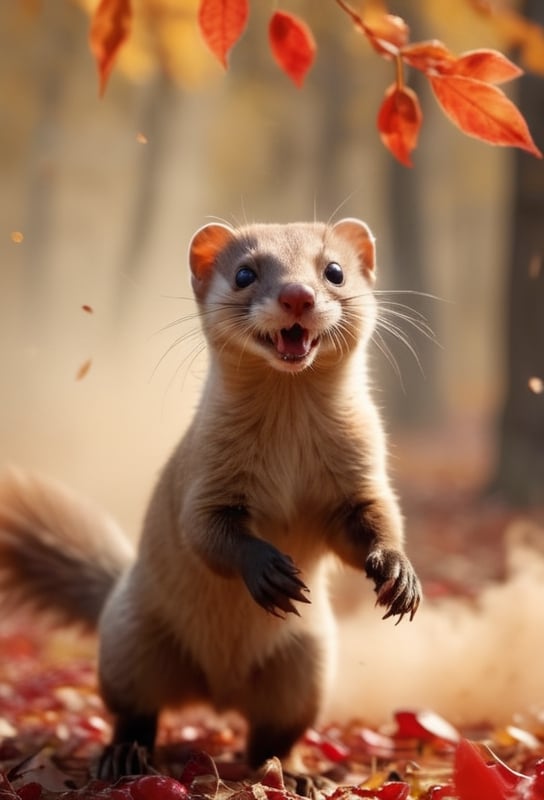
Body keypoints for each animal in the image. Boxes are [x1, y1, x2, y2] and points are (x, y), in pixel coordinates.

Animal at [0, 217, 420, 776]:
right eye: (244, 273)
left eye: (334, 270)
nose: (297, 295)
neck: (288, 447)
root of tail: (217, 693)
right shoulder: (204, 482)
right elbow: (208, 535)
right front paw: (271, 572)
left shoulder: (360, 479)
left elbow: (377, 524)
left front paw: (399, 576)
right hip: (129, 644)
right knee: (135, 714)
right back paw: (122, 758)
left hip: (306, 665)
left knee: (272, 738)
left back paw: (295, 775)